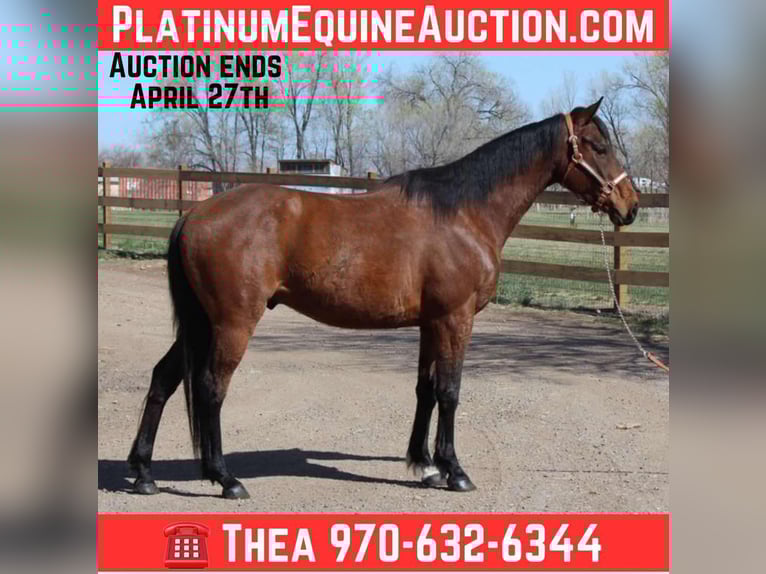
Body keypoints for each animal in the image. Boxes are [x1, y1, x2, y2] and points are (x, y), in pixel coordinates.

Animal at [127, 99, 639, 499]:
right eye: (598, 146)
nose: (630, 206)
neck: (463, 213)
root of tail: (195, 214)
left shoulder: (431, 323)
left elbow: (426, 390)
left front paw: (425, 465)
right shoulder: (455, 319)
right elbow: (450, 392)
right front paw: (454, 471)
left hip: (201, 324)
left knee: (164, 380)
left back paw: (143, 472)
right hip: (232, 323)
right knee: (211, 388)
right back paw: (225, 478)